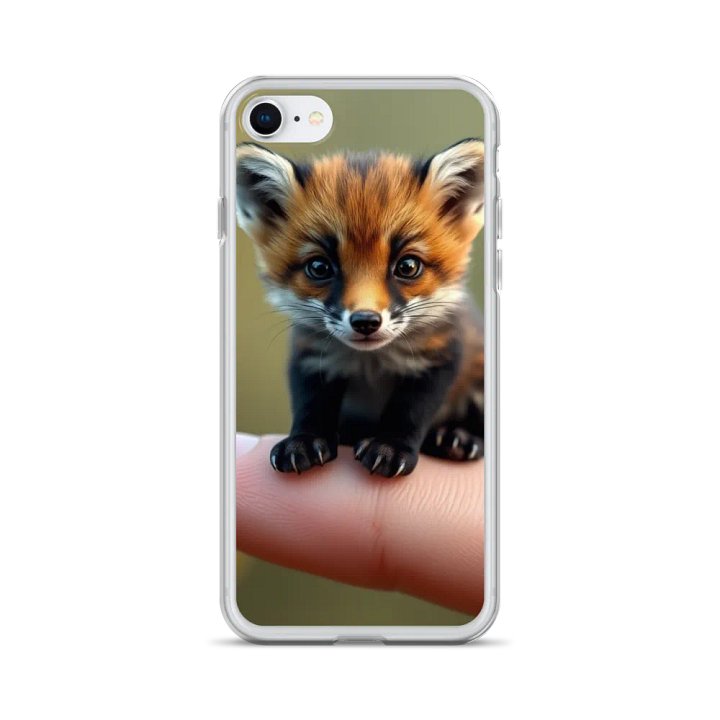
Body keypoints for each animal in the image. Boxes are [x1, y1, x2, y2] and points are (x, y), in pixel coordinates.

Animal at [236, 138, 485, 478]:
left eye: (408, 266)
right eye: (319, 267)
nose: (366, 321)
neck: (371, 365)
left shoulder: (438, 356)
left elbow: (410, 409)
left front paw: (390, 447)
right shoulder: (313, 356)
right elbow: (310, 404)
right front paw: (304, 442)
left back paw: (455, 440)